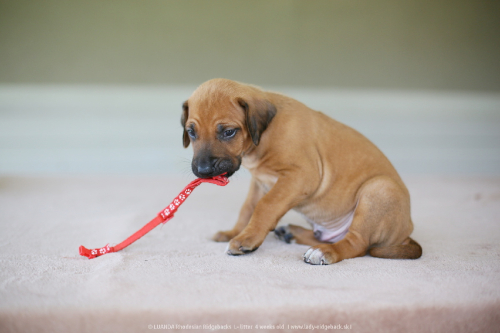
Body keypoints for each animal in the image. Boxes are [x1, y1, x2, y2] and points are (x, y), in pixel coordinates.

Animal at [182, 78, 420, 264]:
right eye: (191, 132)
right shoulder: (260, 182)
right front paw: (235, 231)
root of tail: (405, 233)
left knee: (357, 244)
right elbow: (248, 208)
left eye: (229, 132)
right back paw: (293, 234)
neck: (261, 140)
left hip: (379, 189)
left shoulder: (301, 176)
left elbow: (265, 206)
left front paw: (245, 239)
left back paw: (324, 252)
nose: (202, 170)